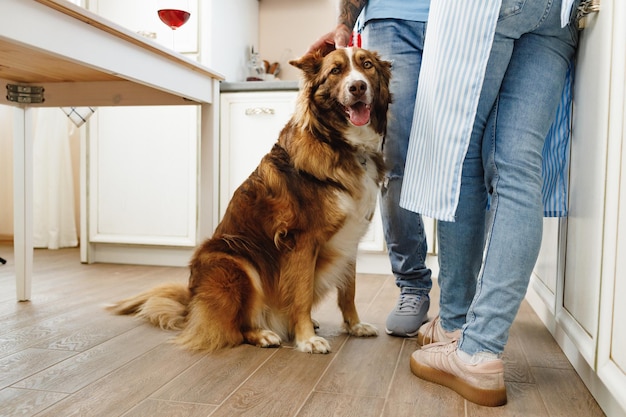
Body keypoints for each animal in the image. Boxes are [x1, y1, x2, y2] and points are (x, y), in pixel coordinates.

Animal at [107, 47, 390, 352]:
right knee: (236, 327)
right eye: (335, 71)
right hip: (235, 261)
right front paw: (306, 339)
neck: (341, 145)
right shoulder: (301, 240)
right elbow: (301, 295)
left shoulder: (350, 237)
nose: (357, 86)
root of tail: (191, 306)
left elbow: (349, 291)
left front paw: (354, 326)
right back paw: (263, 333)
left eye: (367, 65)